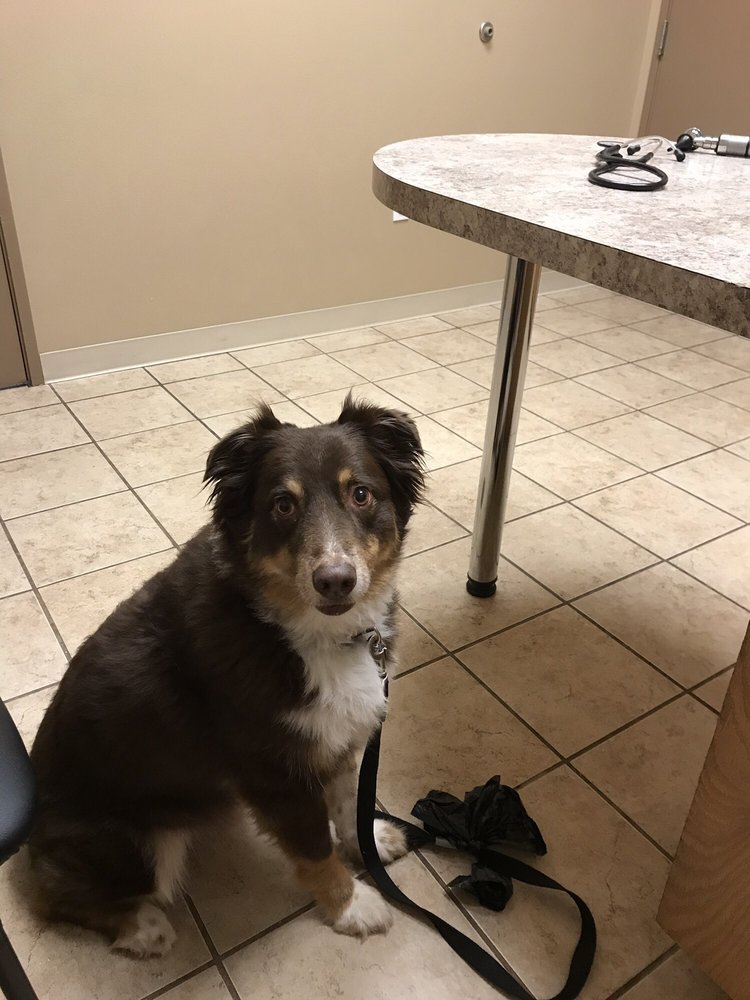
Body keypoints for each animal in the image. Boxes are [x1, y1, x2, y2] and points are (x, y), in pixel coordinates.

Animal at [28, 394, 425, 957]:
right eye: (282, 505)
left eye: (362, 494)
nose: (335, 581)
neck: (295, 630)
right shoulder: (274, 772)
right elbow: (314, 850)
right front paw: (351, 906)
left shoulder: (339, 735)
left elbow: (347, 800)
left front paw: (367, 841)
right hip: (138, 844)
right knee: (53, 895)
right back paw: (140, 927)